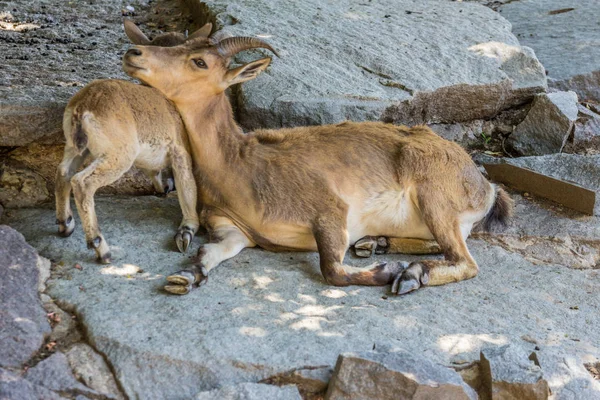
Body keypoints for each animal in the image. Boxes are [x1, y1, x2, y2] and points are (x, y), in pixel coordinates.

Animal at [120, 32, 510, 294]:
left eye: (199, 61)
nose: (133, 52)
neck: (238, 166)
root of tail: (486, 188)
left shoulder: (329, 210)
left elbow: (332, 269)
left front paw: (389, 271)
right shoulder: (232, 228)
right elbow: (206, 251)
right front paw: (184, 276)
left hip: (435, 194)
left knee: (464, 260)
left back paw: (410, 273)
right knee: (444, 245)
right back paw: (375, 243)